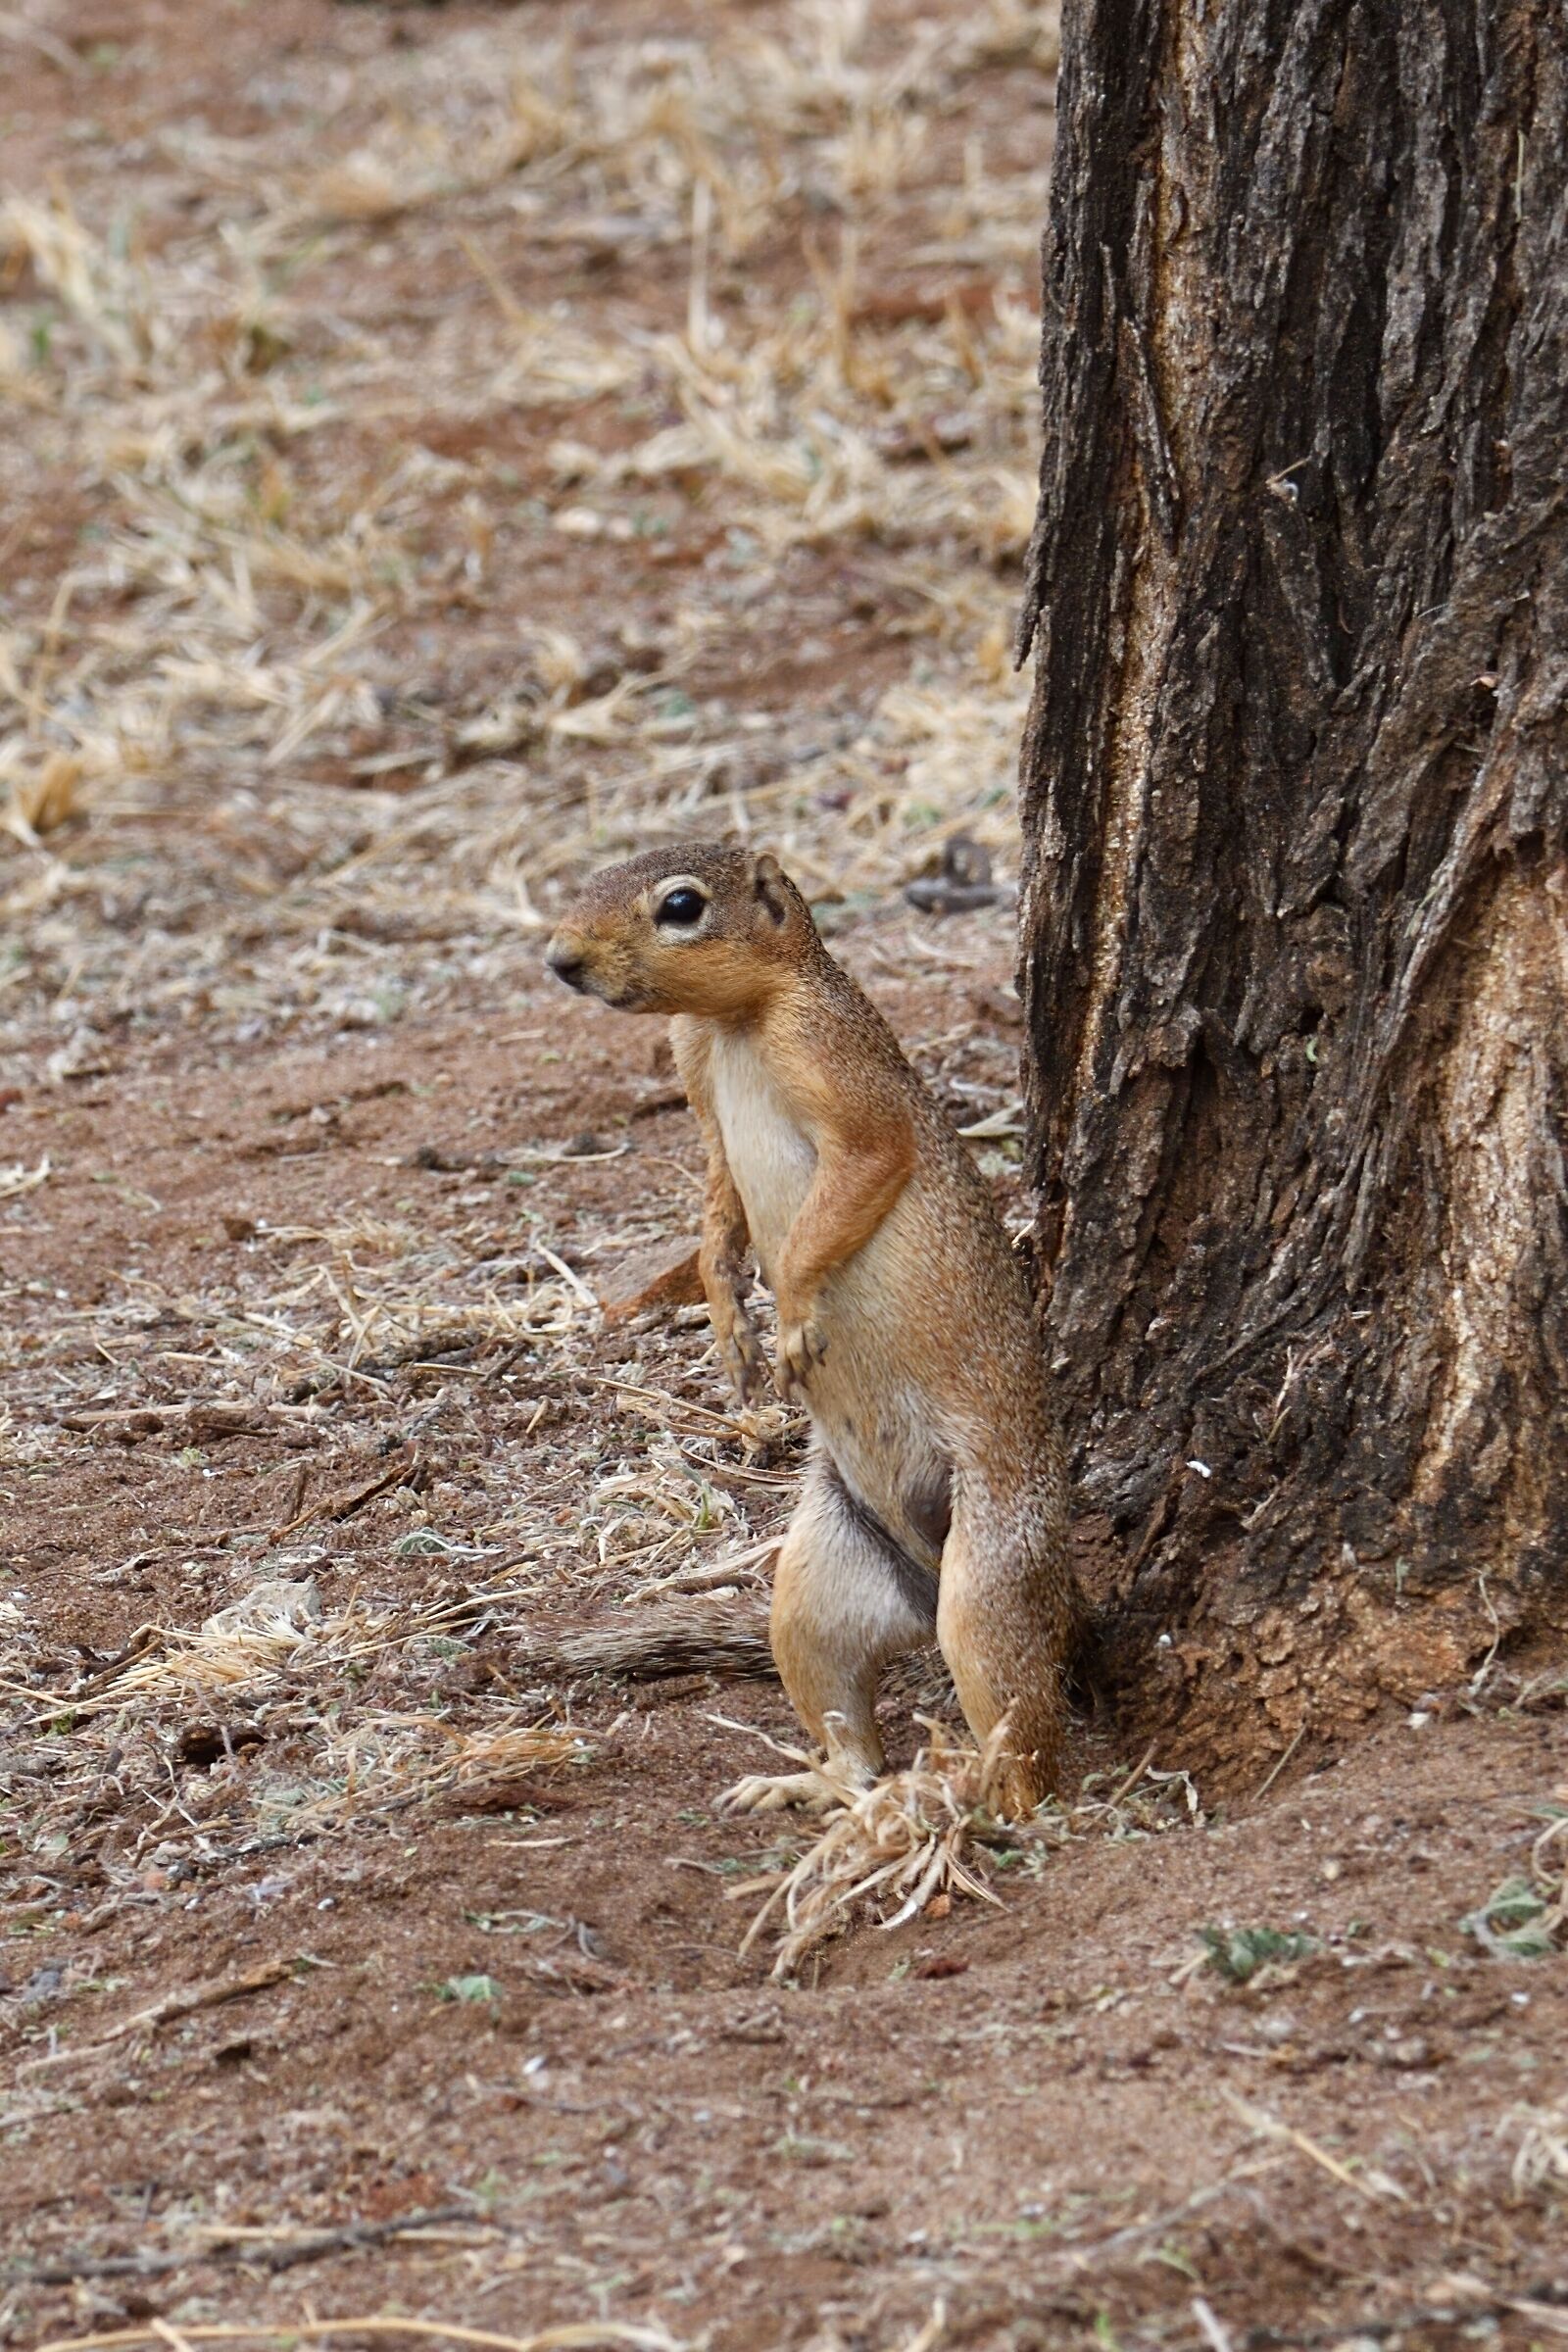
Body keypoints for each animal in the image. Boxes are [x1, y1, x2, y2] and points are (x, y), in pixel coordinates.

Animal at [546, 842, 1080, 1818]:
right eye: (589, 878)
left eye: (681, 906)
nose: (561, 960)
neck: (730, 1027)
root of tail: (922, 1579)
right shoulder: (697, 1086)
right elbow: (718, 1207)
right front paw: (728, 1320)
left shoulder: (836, 1065)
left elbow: (848, 1184)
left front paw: (790, 1317)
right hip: (814, 1592)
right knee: (852, 1734)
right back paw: (819, 1784)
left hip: (988, 1577)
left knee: (1028, 1750)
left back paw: (967, 1789)